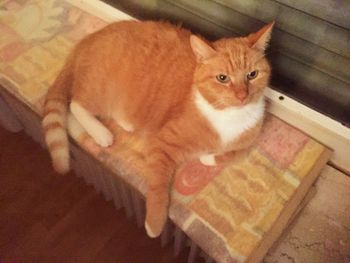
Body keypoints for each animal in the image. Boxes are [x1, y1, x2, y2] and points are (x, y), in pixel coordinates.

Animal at [42, 20, 274, 239]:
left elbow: (232, 154)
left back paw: (124, 123)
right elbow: (158, 185)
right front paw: (154, 223)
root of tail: (87, 40)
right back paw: (101, 133)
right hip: (100, 91)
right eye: (222, 78)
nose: (242, 96)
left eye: (252, 75)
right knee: (75, 104)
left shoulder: (250, 140)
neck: (228, 116)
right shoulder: (162, 145)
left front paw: (207, 158)